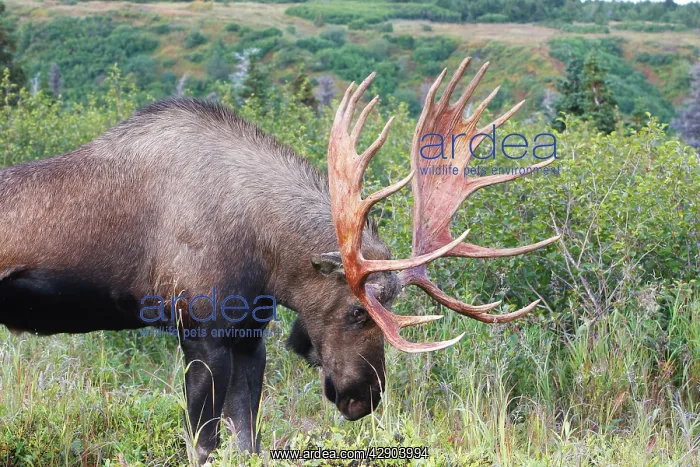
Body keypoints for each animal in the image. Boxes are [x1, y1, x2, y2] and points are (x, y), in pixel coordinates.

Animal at [0, 57, 559, 464]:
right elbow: (203, 444)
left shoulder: (250, 336)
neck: (265, 255)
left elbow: (248, 440)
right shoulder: (201, 331)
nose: (364, 398)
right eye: (356, 312)